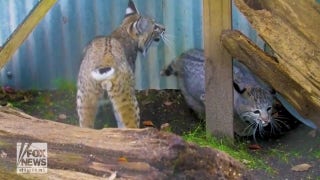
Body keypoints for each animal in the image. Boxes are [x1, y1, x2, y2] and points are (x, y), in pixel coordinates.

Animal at [77, 0, 165, 129]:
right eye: (155, 27)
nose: (164, 28)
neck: (124, 29)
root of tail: (104, 62)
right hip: (125, 93)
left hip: (85, 95)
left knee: (84, 127)